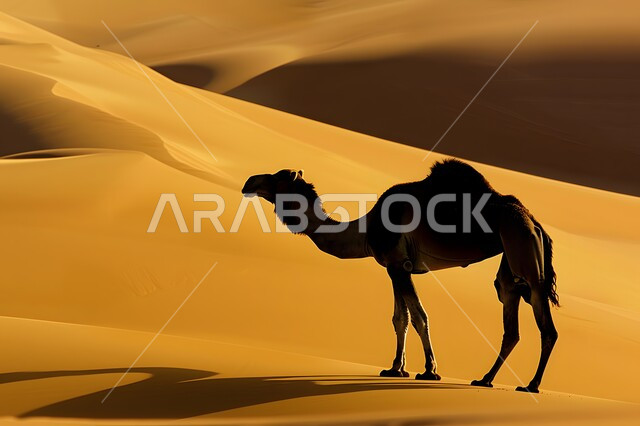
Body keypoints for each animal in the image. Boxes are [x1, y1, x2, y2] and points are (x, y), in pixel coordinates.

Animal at [241, 159, 559, 393]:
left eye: (278, 176)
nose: (249, 182)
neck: (365, 230)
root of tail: (535, 222)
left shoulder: (398, 264)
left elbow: (418, 316)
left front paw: (430, 371)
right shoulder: (394, 267)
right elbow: (400, 319)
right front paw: (395, 368)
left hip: (520, 244)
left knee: (544, 323)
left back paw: (529, 385)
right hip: (512, 260)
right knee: (513, 316)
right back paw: (487, 379)